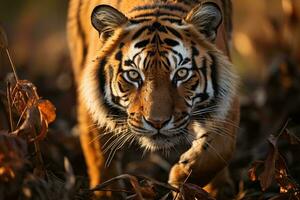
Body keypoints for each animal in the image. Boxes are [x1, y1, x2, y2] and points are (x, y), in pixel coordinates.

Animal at [67, 0, 239, 198]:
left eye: (181, 73)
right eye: (133, 75)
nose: (157, 122)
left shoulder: (227, 100)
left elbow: (221, 150)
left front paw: (181, 178)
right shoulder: (91, 105)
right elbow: (100, 158)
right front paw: (107, 194)